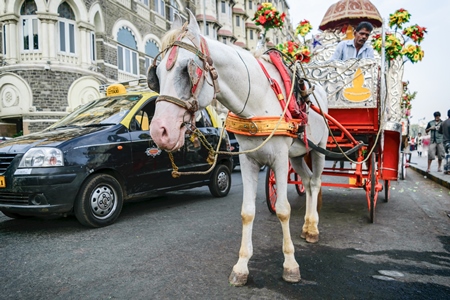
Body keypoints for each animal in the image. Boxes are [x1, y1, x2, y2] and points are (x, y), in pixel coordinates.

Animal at [148, 12, 326, 286]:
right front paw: (242, 266)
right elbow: (247, 212)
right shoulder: (250, 160)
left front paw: (290, 264)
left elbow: (283, 210)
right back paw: (307, 226)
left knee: (315, 183)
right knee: (306, 182)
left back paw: (313, 228)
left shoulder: (280, 159)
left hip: (319, 148)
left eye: (187, 70)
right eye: (155, 73)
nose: (159, 131)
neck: (257, 101)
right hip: (297, 155)